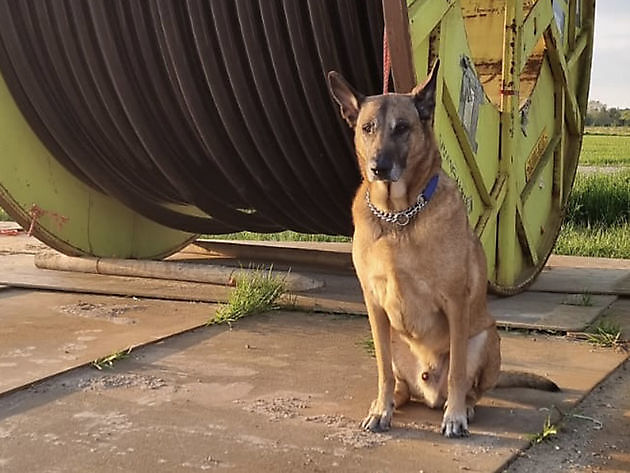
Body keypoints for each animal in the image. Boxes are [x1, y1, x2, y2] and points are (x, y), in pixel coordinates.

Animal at [328, 60, 560, 436]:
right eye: (367, 128)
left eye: (403, 128)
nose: (379, 167)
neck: (399, 217)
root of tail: (428, 391)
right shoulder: (375, 306)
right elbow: (382, 372)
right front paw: (381, 409)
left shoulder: (455, 302)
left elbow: (458, 373)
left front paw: (455, 417)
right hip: (392, 337)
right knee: (397, 380)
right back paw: (394, 401)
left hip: (485, 337)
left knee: (468, 385)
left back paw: (462, 407)